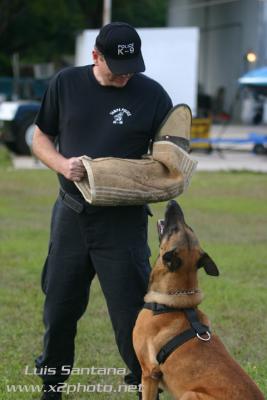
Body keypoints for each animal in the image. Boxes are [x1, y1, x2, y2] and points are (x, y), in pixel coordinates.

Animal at [133, 200, 264, 400]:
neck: (172, 302)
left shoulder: (149, 373)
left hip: (190, 394)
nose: (173, 202)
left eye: (174, 230)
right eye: (189, 227)